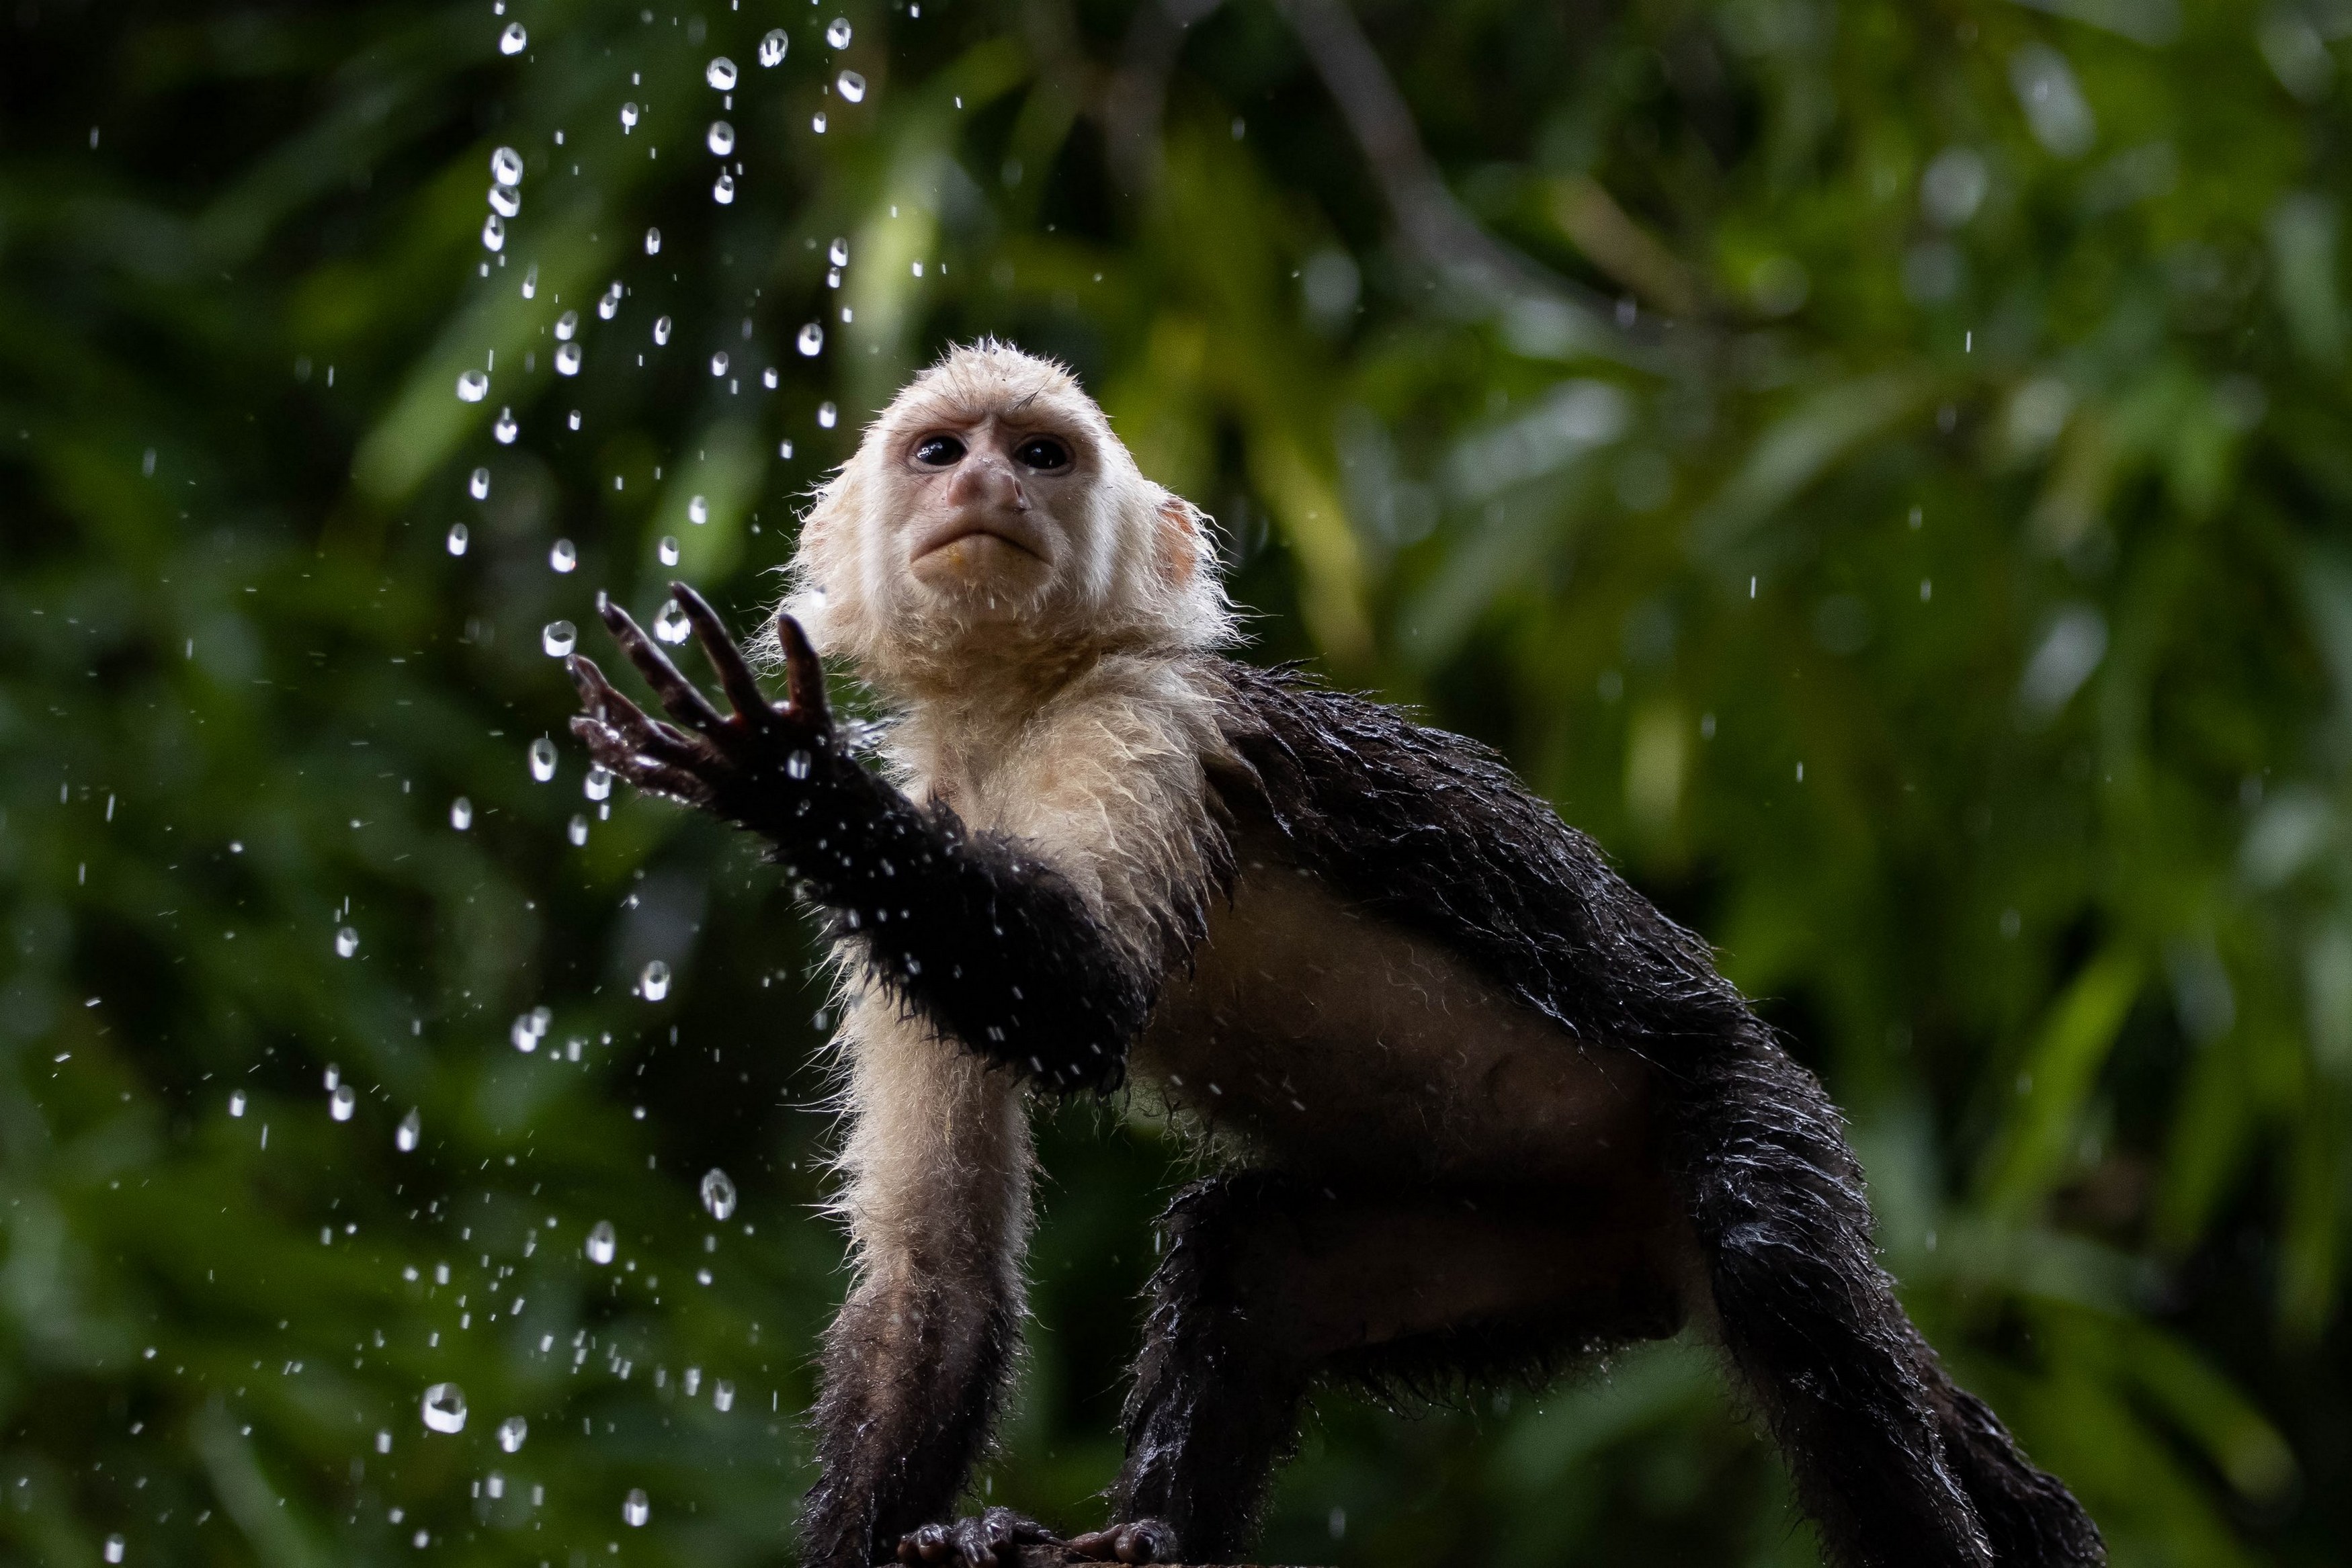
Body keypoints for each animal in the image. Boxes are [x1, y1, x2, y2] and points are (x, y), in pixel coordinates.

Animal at [567, 341, 2103, 1568]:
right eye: (941, 451)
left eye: (1042, 454)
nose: (986, 487)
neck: (1015, 715)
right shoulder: (936, 810)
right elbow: (931, 1278)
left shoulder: (1148, 721)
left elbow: (1076, 999)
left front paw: (777, 774)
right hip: (1553, 1242)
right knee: (1250, 1267)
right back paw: (1142, 1536)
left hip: (1752, 1105)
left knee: (1777, 1265)